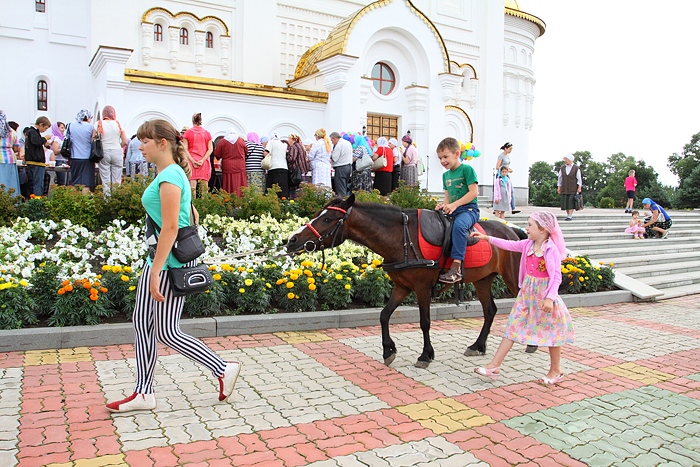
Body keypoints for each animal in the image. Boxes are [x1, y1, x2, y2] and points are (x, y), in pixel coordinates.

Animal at [286, 194, 525, 368]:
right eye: (318, 214)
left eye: (327, 219)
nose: (292, 240)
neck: (402, 239)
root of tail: (512, 230)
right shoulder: (401, 287)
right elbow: (384, 315)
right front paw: (388, 350)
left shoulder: (422, 287)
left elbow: (424, 322)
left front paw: (425, 355)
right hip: (483, 280)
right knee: (490, 310)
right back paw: (478, 345)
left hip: (513, 278)